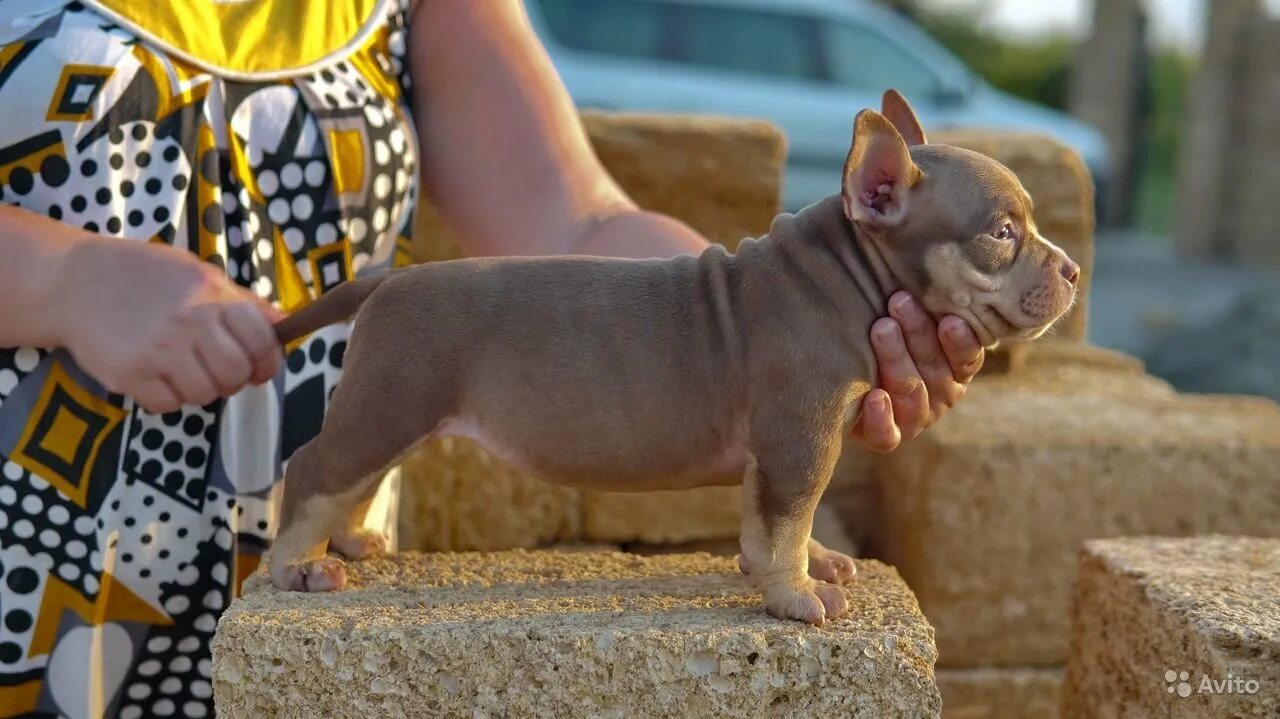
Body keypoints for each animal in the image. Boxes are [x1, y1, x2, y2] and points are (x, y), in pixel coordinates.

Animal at [264, 92, 1075, 624]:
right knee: (313, 467)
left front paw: (807, 563)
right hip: (390, 400)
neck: (844, 267)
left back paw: (353, 539)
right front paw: (796, 594)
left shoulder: (785, 448)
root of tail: (389, 279)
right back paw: (295, 565)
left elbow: (776, 521)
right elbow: (788, 520)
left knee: (357, 479)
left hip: (399, 407)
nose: (1070, 270)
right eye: (1002, 232)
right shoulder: (801, 437)